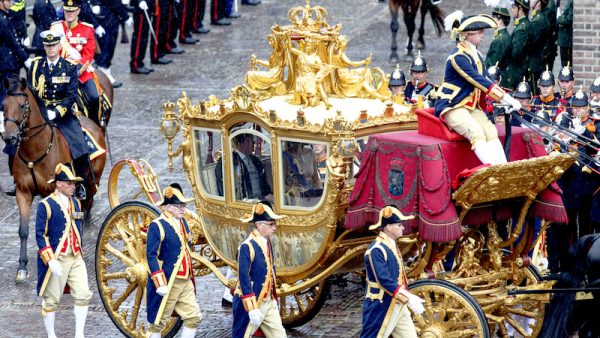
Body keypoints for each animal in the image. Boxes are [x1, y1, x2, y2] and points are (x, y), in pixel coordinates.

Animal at [1, 78, 106, 282]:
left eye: (22, 105)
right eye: (4, 106)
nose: (9, 137)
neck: (34, 151)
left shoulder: (52, 193)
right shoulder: (23, 194)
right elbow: (24, 230)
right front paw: (22, 267)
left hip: (91, 183)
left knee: (84, 208)